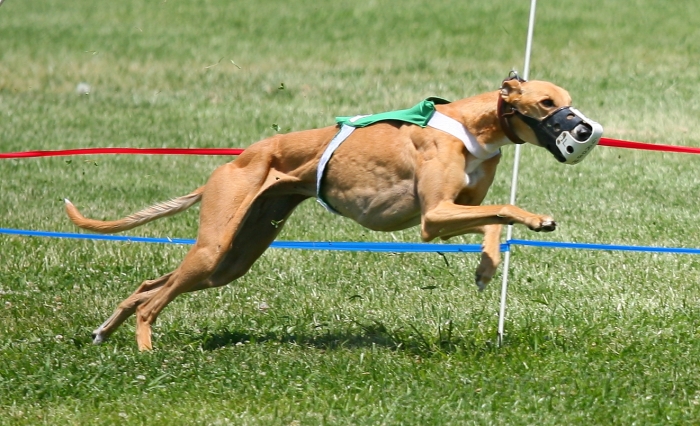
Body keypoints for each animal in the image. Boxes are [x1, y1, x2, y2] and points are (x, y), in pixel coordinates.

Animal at [65, 73, 603, 350]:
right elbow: (503, 207)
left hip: (233, 257)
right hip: (216, 243)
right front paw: (537, 221)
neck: (474, 125)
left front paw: (487, 268)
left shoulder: (458, 208)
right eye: (547, 102)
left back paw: (104, 332)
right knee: (154, 301)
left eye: (569, 101)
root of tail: (227, 166)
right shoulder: (433, 217)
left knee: (149, 285)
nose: (584, 130)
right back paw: (146, 352)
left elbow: (493, 219)